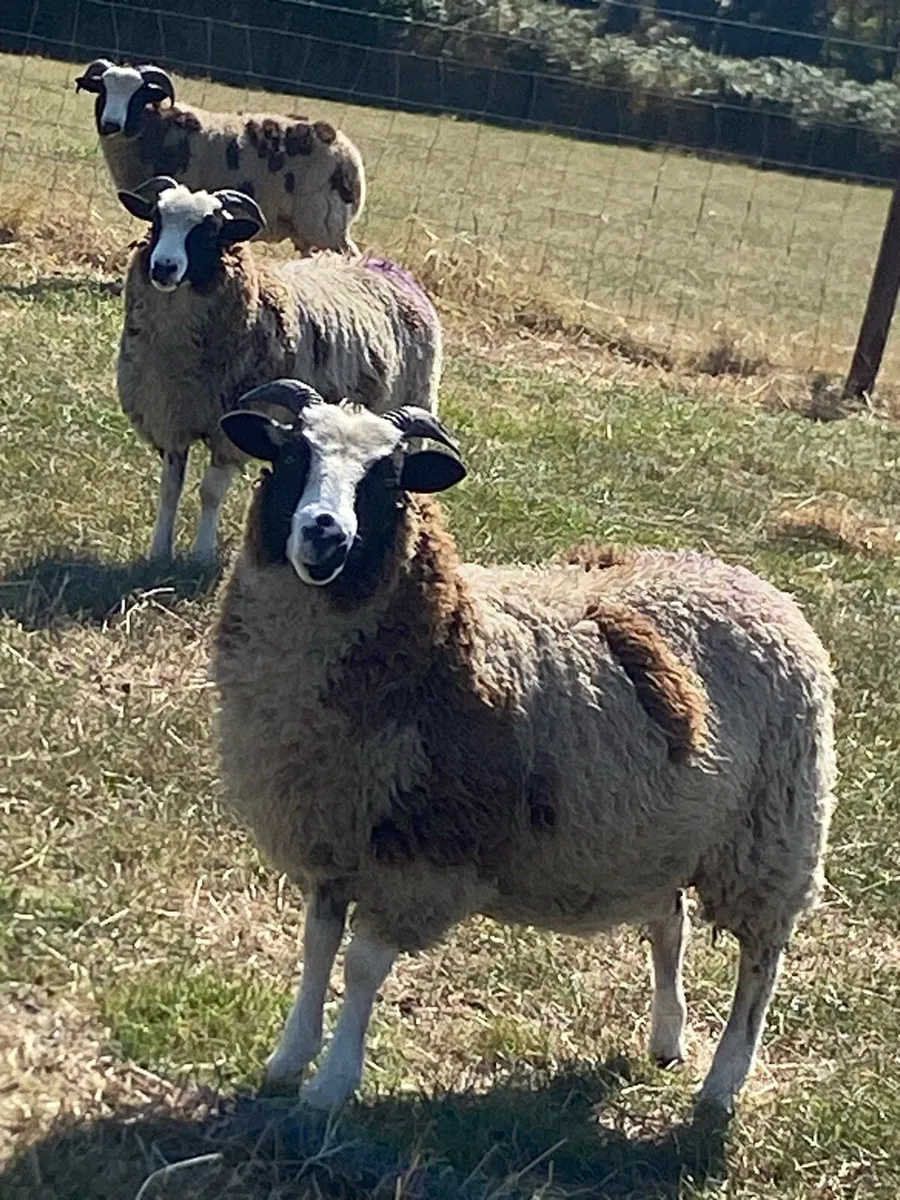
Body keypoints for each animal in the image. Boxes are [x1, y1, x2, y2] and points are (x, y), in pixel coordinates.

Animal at [75, 59, 365, 254]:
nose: (110, 124)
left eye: (138, 94)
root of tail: (349, 154)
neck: (156, 127)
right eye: (102, 90)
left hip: (324, 223)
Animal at [115, 177, 442, 564]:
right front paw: (159, 553)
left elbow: (210, 492)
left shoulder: (230, 429)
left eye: (209, 231)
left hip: (418, 402)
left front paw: (202, 555)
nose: (163, 268)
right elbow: (169, 489)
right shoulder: (171, 417)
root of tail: (388, 265)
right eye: (155, 221)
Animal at [211, 378, 836, 1116]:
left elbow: (362, 967)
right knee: (669, 923)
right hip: (660, 833)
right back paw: (666, 1037)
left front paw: (331, 1085)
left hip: (772, 834)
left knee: (760, 963)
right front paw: (288, 1060)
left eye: (389, 481)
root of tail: (757, 585)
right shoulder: (333, 838)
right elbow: (316, 948)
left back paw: (723, 1085)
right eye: (288, 456)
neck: (452, 639)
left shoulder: (419, 853)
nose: (323, 531)